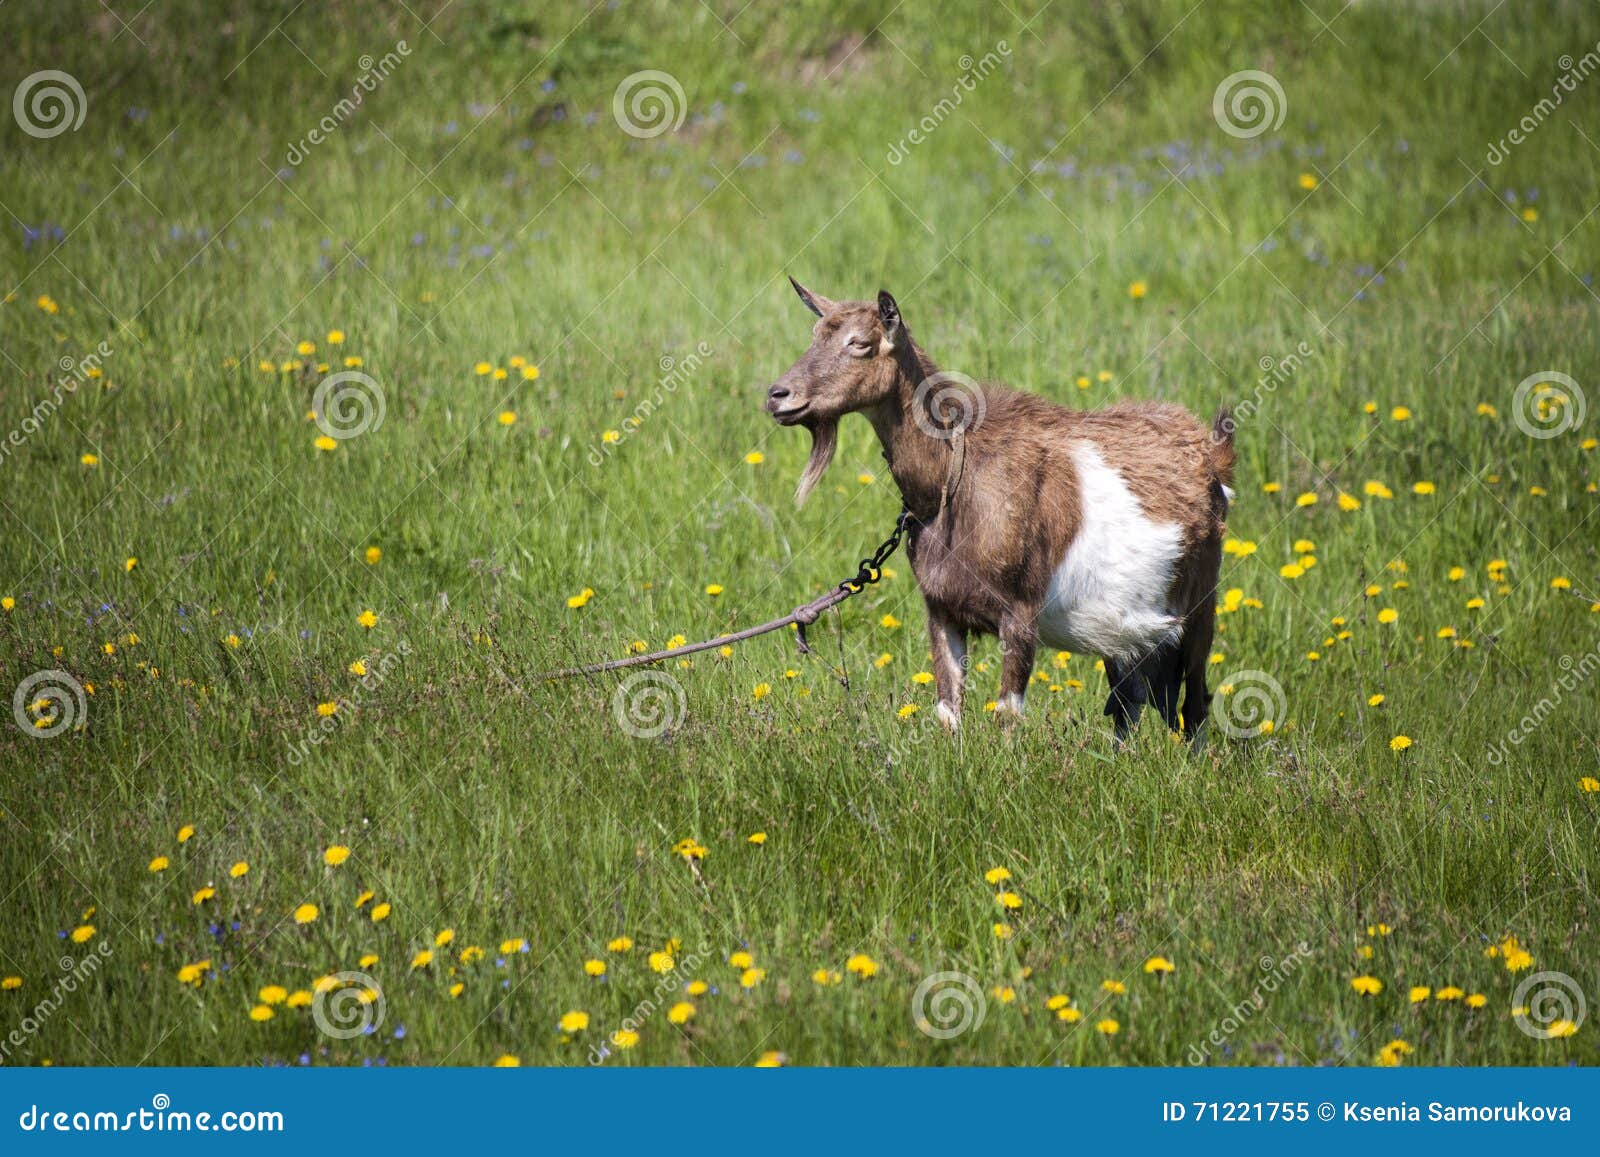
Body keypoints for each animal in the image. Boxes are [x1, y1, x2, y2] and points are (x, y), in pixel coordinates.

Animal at [764, 279, 1234, 744]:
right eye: (815, 336)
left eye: (859, 343)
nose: (777, 396)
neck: (952, 477)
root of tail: (1212, 451)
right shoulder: (941, 608)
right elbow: (947, 711)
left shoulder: (1021, 610)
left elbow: (1007, 715)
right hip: (1128, 627)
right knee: (1128, 703)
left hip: (1202, 601)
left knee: (1194, 703)